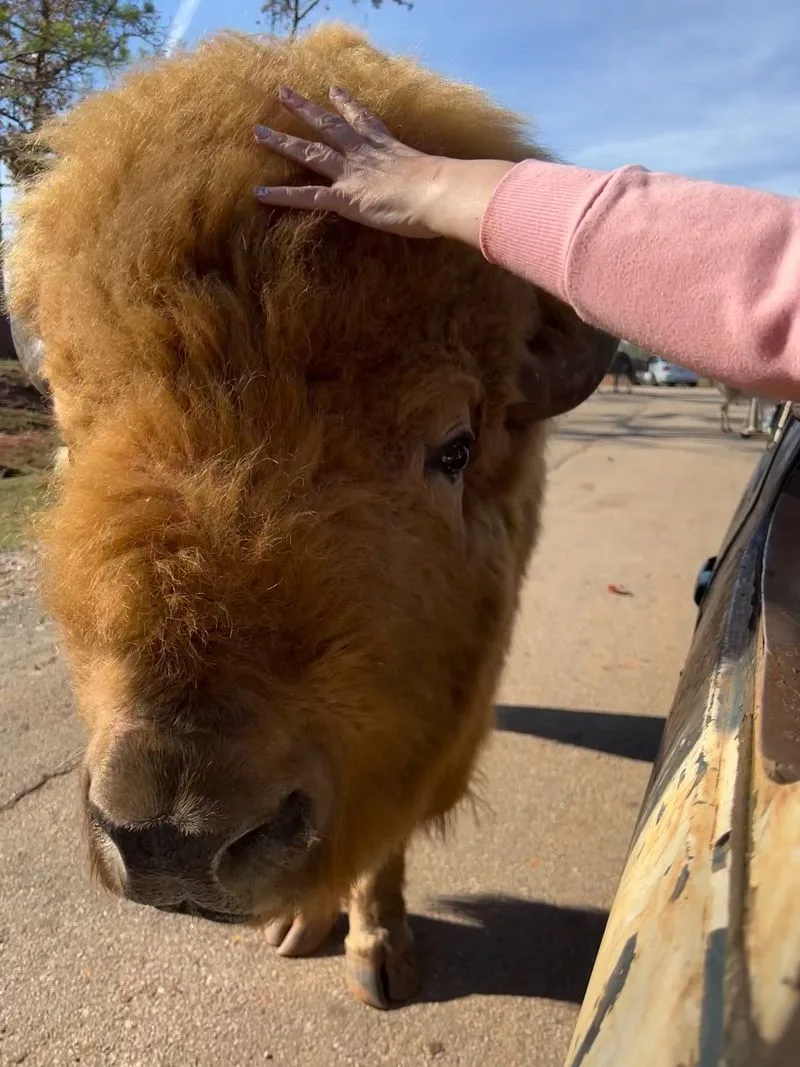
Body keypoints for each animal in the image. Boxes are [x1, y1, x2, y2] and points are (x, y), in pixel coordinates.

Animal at [5, 25, 614, 1009]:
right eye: (67, 430)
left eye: (454, 446)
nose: (172, 839)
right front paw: (304, 924)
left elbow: (385, 833)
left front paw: (377, 950)